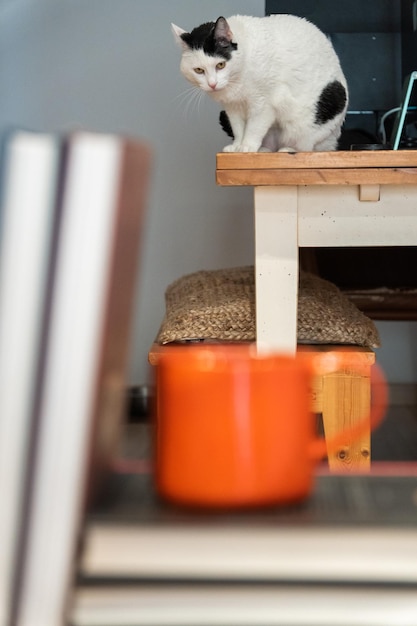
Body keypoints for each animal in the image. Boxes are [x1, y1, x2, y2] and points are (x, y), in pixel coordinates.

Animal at [171, 14, 348, 151]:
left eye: (220, 65)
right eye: (198, 70)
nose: (212, 84)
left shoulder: (264, 104)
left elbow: (254, 127)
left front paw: (247, 146)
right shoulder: (232, 108)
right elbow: (238, 128)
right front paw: (237, 146)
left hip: (311, 118)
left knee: (306, 147)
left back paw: (287, 149)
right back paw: (264, 149)